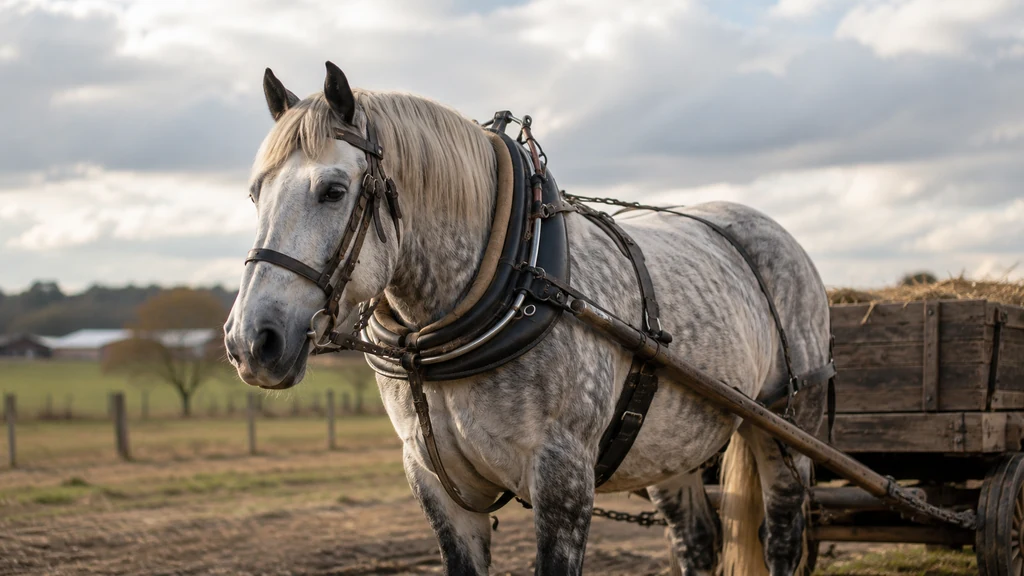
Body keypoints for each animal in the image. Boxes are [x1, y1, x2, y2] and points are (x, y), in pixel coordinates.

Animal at [224, 62, 831, 576]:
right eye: (255, 194)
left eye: (333, 190)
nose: (252, 342)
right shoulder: (437, 483)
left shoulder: (563, 478)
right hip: (671, 444)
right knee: (696, 543)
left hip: (785, 425)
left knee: (781, 535)